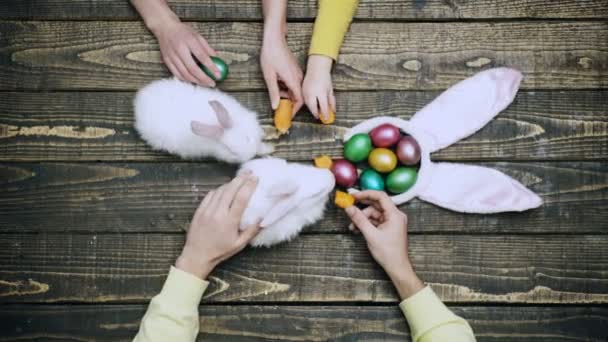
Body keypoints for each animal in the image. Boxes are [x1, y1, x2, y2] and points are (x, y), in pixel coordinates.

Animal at [137, 78, 274, 164]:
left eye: (247, 138)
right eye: (230, 151)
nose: (250, 155)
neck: (219, 126)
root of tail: (141, 98)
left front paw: (267, 148)